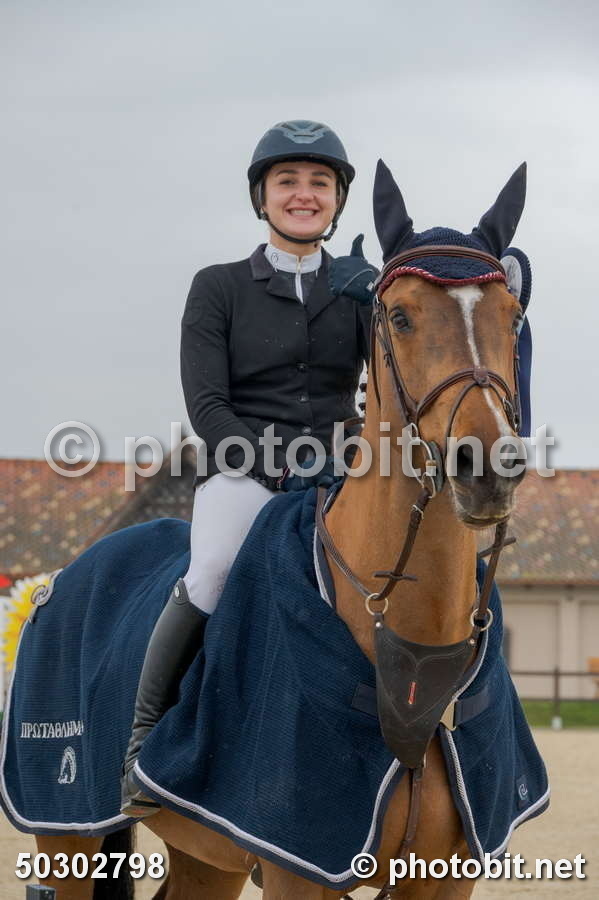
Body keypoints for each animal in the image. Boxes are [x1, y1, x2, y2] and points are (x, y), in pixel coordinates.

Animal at [22, 161, 543, 900]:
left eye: (512, 315)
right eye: (400, 316)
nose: (487, 469)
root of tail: (59, 580)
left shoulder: (444, 875)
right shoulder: (298, 866)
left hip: (205, 857)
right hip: (64, 835)